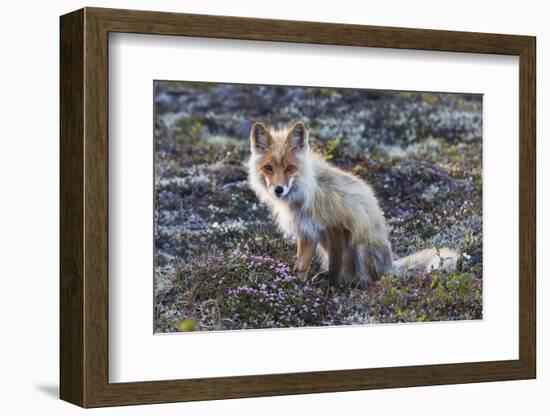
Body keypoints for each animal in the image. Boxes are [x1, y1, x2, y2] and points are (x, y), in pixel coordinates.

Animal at [248, 122, 460, 288]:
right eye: (268, 168)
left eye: (290, 168)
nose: (278, 190)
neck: (307, 193)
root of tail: (389, 266)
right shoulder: (308, 232)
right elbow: (301, 267)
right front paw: (298, 286)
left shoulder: (337, 227)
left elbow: (335, 269)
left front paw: (332, 289)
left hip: (361, 246)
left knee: (372, 280)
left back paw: (355, 285)